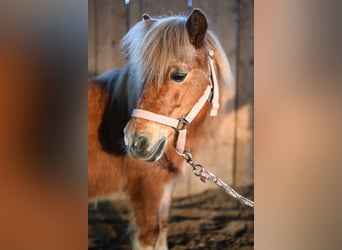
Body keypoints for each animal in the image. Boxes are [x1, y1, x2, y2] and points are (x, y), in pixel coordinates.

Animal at [87, 8, 232, 249]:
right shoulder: (147, 188)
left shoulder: (163, 188)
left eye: (178, 75)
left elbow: (162, 229)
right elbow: (150, 236)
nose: (135, 141)